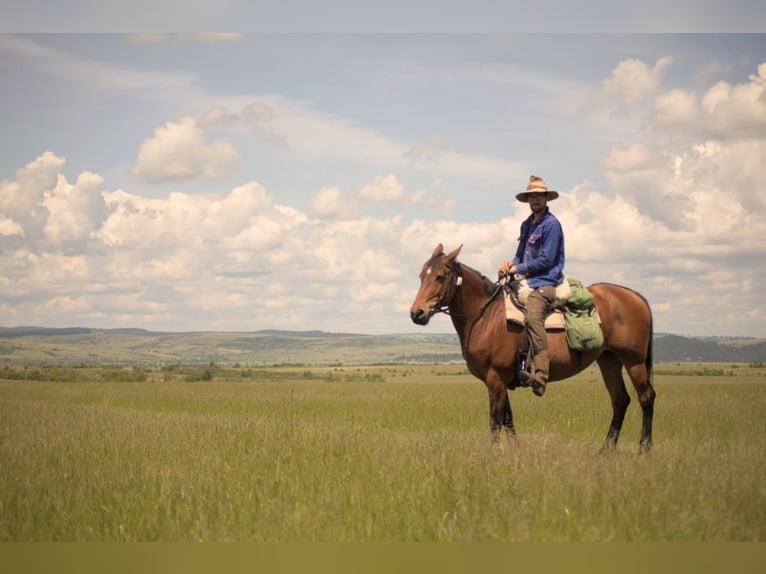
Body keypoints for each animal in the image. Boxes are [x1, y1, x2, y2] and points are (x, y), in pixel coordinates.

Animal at [412, 243, 656, 454]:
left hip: (633, 360)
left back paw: (643, 449)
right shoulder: (501, 379)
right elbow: (508, 418)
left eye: (440, 277)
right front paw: (515, 450)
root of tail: (635, 296)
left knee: (646, 397)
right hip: (609, 360)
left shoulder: (495, 377)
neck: (486, 316)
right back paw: (605, 450)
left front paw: (493, 453)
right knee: (620, 400)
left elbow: (495, 419)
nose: (417, 313)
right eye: (421, 276)